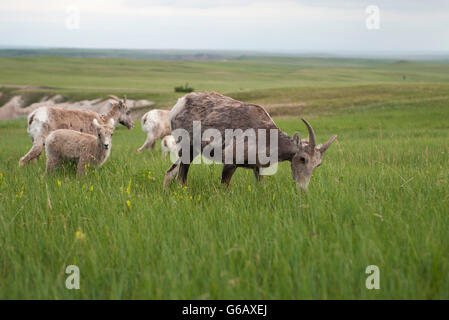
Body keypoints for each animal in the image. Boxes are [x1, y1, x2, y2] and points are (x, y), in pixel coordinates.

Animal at [164, 91, 336, 190]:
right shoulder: (230, 163)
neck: (265, 135)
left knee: (169, 173)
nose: (302, 189)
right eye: (302, 158)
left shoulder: (257, 168)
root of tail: (178, 104)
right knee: (180, 178)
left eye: (318, 164)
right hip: (187, 149)